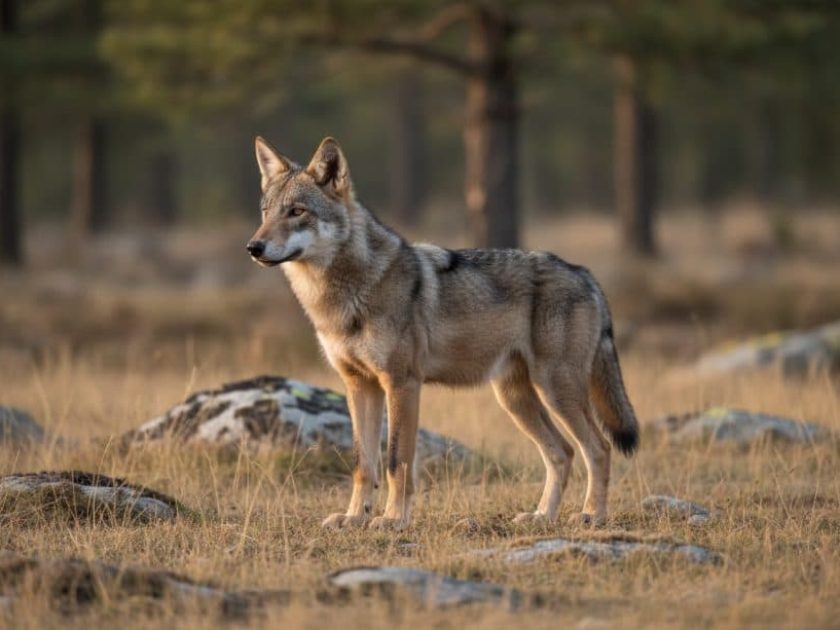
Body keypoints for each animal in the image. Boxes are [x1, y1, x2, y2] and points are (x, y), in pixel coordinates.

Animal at [247, 136, 639, 531]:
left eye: (296, 211)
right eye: (265, 212)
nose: (253, 247)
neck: (344, 294)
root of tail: (584, 273)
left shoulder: (402, 383)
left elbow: (396, 461)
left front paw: (393, 519)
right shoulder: (359, 385)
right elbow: (363, 464)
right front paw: (354, 517)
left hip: (555, 389)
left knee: (598, 448)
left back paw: (592, 515)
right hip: (516, 398)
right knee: (563, 452)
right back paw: (542, 515)